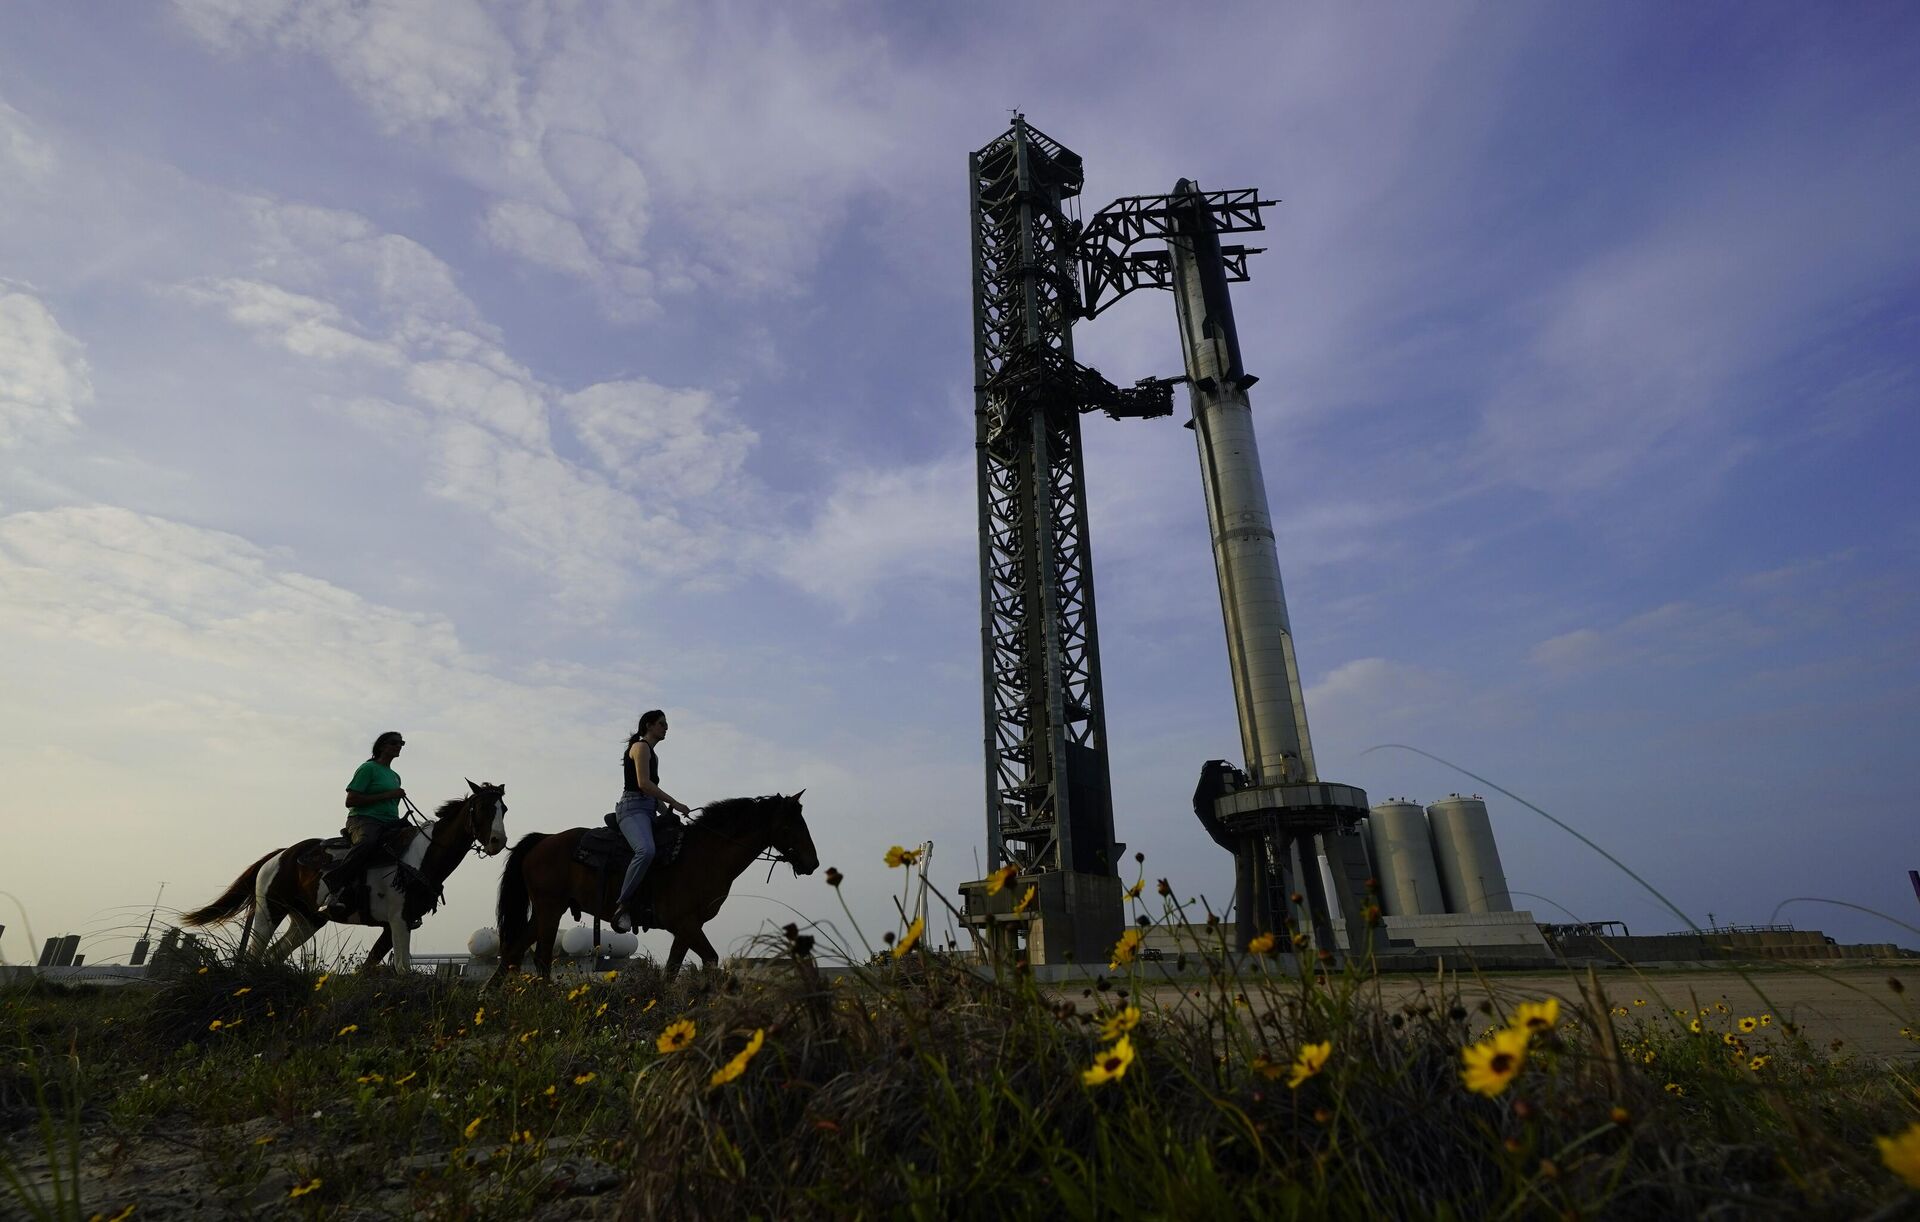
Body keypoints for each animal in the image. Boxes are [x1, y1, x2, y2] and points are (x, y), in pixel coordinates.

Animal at [180, 783, 506, 972]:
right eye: (483, 807)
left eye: (504, 807)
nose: (498, 841)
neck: (421, 856)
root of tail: (279, 855)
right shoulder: (398, 920)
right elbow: (401, 969)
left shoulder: (398, 922)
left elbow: (372, 967)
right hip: (269, 910)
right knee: (255, 952)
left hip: (308, 919)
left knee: (274, 954)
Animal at [487, 791, 817, 983]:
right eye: (792, 824)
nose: (812, 862)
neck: (704, 854)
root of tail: (542, 840)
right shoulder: (685, 923)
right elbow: (710, 959)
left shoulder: (687, 927)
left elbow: (672, 970)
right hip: (550, 909)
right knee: (540, 959)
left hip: (543, 912)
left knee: (514, 953)